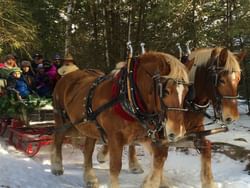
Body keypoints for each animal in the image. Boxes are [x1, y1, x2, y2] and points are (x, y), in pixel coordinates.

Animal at [51, 50, 190, 187]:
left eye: (186, 92)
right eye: (165, 91)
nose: (178, 132)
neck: (127, 95)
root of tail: (68, 75)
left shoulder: (144, 135)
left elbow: (160, 157)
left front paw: (152, 182)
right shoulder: (115, 136)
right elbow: (115, 166)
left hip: (90, 125)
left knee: (88, 149)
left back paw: (90, 178)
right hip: (60, 118)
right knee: (58, 139)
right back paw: (57, 166)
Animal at [96, 47, 245, 187]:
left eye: (238, 80)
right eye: (221, 80)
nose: (232, 117)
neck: (188, 104)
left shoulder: (193, 132)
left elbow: (206, 147)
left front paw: (209, 183)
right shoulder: (161, 134)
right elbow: (160, 155)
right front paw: (151, 182)